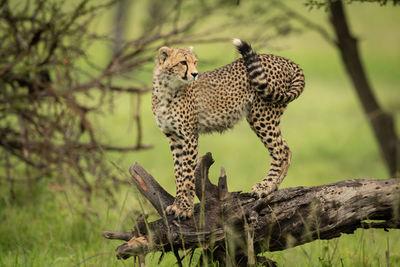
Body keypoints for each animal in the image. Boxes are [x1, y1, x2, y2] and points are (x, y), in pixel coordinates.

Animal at [152, 38, 304, 219]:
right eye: (183, 62)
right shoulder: (174, 138)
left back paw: (265, 187)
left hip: (262, 114)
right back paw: (271, 188)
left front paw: (185, 208)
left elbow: (187, 173)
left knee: (281, 151)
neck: (166, 89)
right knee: (285, 149)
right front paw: (177, 204)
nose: (195, 74)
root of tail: (283, 59)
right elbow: (178, 173)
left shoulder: (189, 137)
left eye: (195, 62)